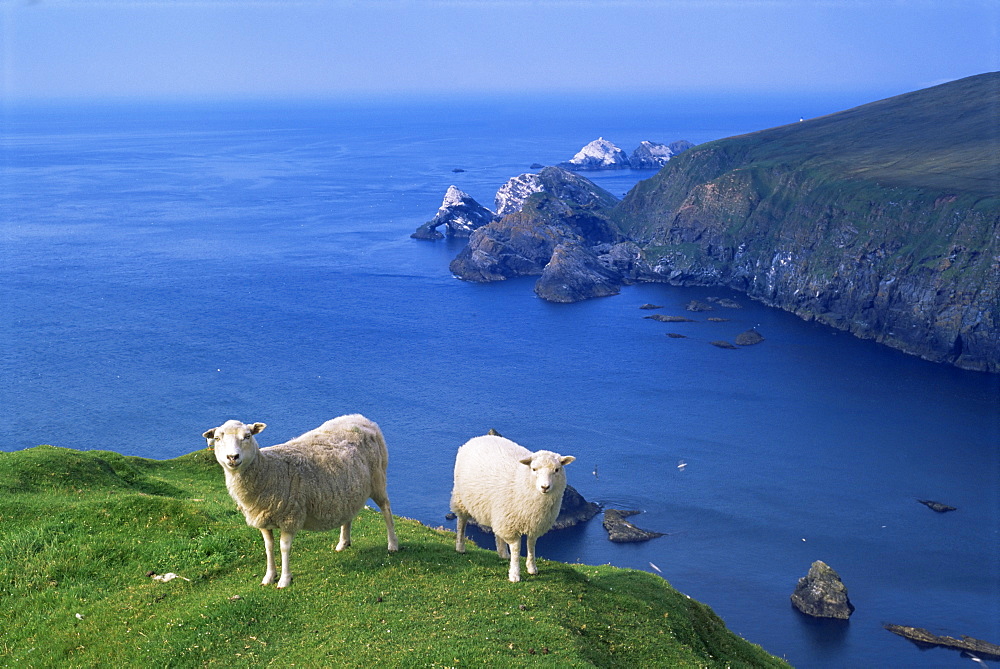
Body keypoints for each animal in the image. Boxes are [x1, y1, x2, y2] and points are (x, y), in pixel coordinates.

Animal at [202, 410, 398, 588]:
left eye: (247, 436)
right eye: (217, 438)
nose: (232, 457)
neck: (269, 471)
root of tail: (361, 418)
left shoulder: (290, 517)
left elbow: (284, 548)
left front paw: (284, 580)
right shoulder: (263, 518)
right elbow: (268, 547)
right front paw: (269, 577)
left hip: (378, 478)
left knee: (386, 508)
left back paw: (392, 544)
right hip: (349, 489)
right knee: (348, 512)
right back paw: (343, 543)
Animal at [450, 434, 576, 580]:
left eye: (556, 470)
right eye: (534, 469)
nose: (545, 487)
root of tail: (479, 437)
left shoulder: (534, 523)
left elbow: (531, 544)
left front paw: (532, 568)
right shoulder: (511, 524)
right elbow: (516, 548)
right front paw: (515, 574)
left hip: (497, 510)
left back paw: (503, 553)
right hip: (462, 498)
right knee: (461, 522)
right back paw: (460, 547)